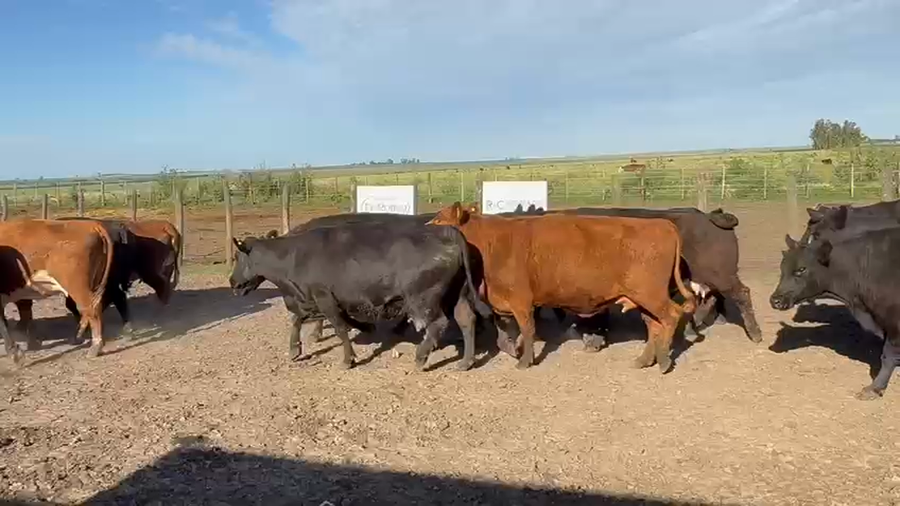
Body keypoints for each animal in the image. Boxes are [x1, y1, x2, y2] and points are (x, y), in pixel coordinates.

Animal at [0, 219, 115, 359]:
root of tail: (92, 225)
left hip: (77, 287)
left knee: (91, 309)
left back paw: (95, 347)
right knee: (89, 310)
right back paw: (77, 337)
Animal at [228, 219, 493, 371]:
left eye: (238, 257)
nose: (232, 282)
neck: (294, 256)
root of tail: (446, 232)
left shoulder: (325, 298)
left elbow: (340, 327)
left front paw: (348, 359)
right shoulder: (309, 299)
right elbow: (298, 320)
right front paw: (295, 349)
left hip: (423, 299)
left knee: (438, 324)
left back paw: (420, 358)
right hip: (458, 294)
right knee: (466, 320)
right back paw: (466, 362)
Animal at [428, 202, 696, 372]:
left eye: (439, 219)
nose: (425, 228)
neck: (491, 243)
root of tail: (662, 224)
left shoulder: (521, 301)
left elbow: (527, 330)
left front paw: (525, 360)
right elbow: (506, 335)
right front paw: (515, 349)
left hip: (651, 295)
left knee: (671, 317)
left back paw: (664, 361)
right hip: (641, 300)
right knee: (653, 325)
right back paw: (645, 360)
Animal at [770, 230, 900, 400]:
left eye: (801, 269)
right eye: (782, 268)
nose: (775, 300)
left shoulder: (893, 324)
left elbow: (887, 357)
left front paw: (874, 388)